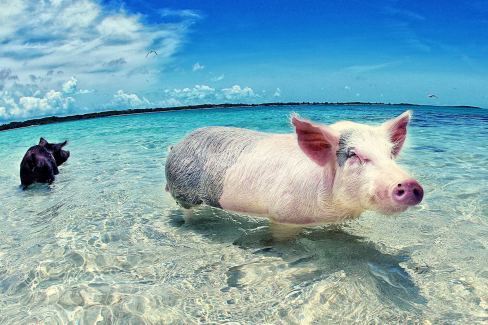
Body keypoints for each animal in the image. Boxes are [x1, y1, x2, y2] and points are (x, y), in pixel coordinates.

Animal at [165, 110, 424, 224]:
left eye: (390, 154)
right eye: (354, 155)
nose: (411, 184)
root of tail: (176, 146)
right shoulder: (283, 215)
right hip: (183, 191)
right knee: (186, 211)